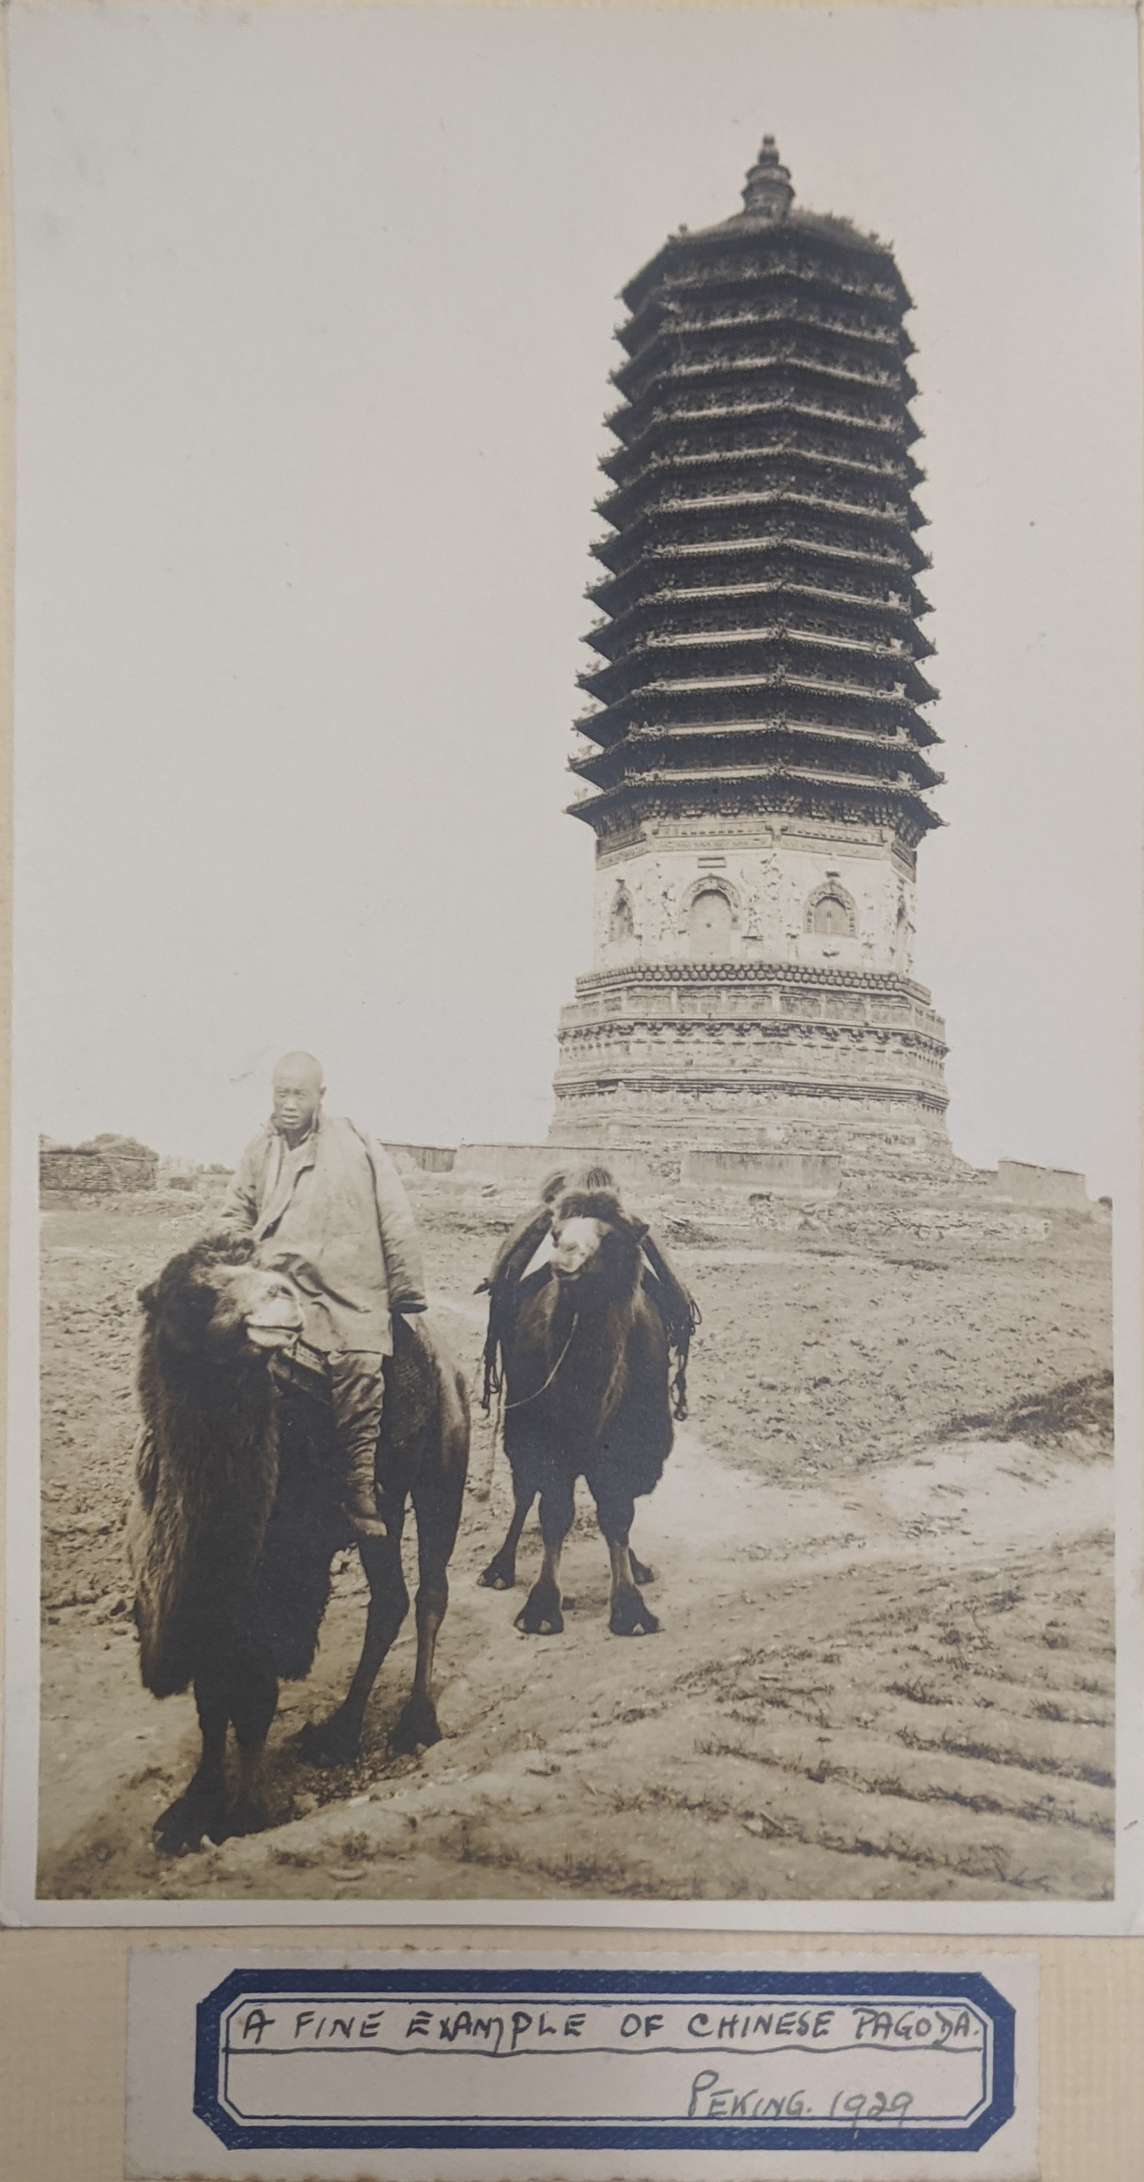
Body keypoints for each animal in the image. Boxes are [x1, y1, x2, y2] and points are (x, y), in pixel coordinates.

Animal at [124, 1239, 465, 1850]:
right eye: (191, 1295)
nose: (282, 1296)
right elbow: (210, 1699)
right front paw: (192, 1808)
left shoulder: (282, 1591)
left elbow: (253, 1702)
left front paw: (243, 1814)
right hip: (381, 1510)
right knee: (390, 1597)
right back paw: (338, 1733)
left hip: (442, 1462)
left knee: (431, 1593)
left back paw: (415, 1723)